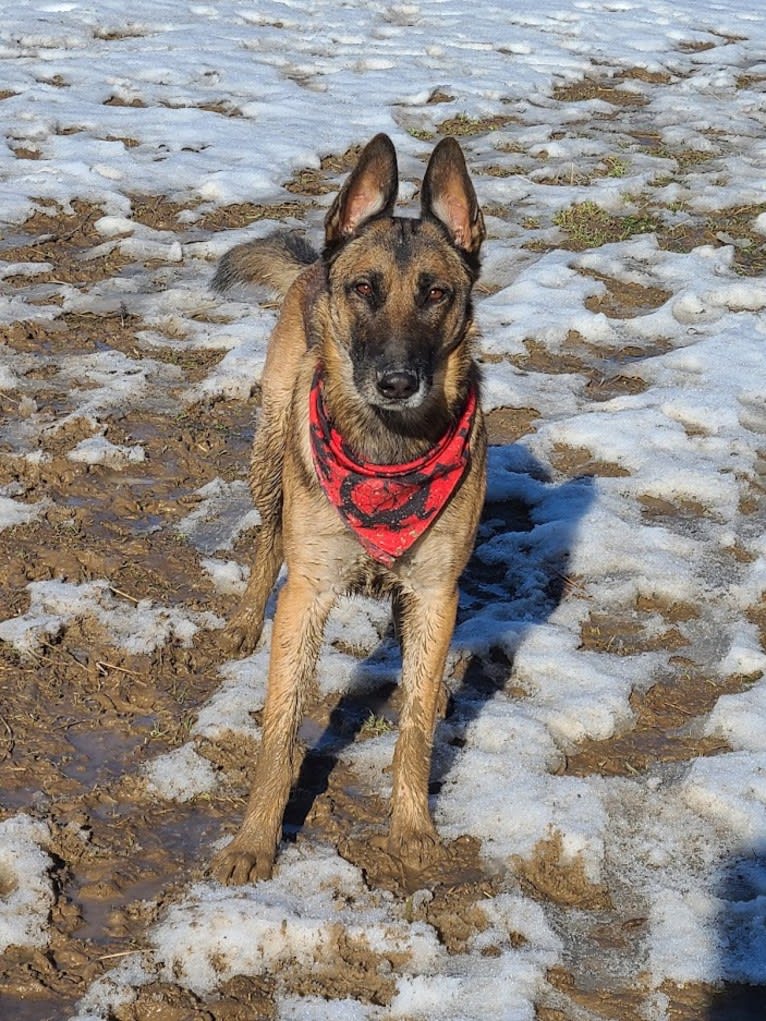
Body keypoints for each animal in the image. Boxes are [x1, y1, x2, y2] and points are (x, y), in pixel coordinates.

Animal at [208, 133, 486, 886]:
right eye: (365, 289)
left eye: (437, 293)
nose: (396, 381)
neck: (388, 456)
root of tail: (316, 261)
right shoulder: (307, 593)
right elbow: (278, 731)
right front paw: (254, 839)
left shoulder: (436, 591)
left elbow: (415, 726)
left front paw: (413, 828)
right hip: (269, 459)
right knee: (268, 539)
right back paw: (243, 620)